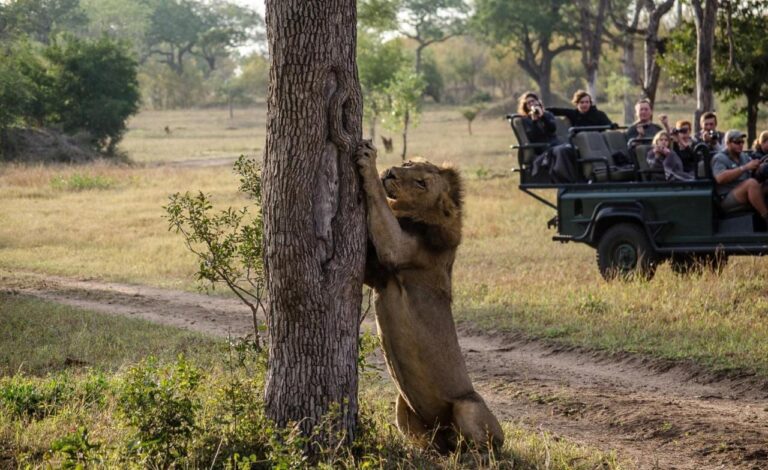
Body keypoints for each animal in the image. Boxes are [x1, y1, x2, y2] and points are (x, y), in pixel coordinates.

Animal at [354, 141, 504, 453]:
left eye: (421, 183)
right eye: (408, 163)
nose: (391, 172)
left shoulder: (399, 248)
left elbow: (379, 202)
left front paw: (369, 160)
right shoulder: (378, 275)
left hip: (467, 405)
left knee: (486, 445)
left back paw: (474, 454)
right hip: (402, 404)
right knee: (433, 444)